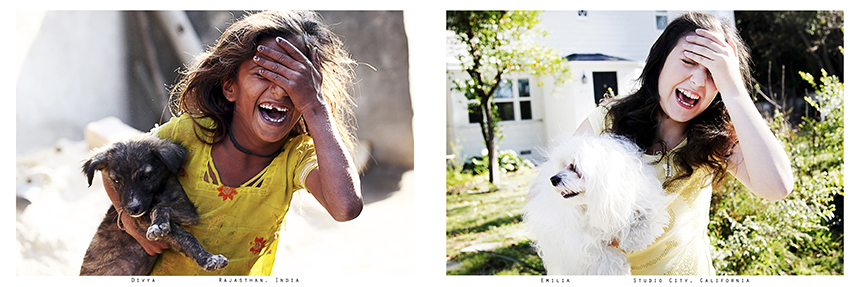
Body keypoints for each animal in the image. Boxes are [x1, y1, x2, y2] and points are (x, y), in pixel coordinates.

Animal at [80, 135, 228, 276]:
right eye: (116, 181)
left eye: (146, 177)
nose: (132, 209)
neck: (157, 194)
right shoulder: (140, 221)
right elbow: (182, 235)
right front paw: (208, 259)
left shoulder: (188, 210)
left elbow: (163, 209)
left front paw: (158, 224)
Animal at [524, 134, 672, 276]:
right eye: (563, 165)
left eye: (575, 167)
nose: (553, 179)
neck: (594, 203)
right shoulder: (576, 242)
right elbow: (598, 254)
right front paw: (615, 270)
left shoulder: (640, 197)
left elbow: (645, 215)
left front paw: (633, 241)